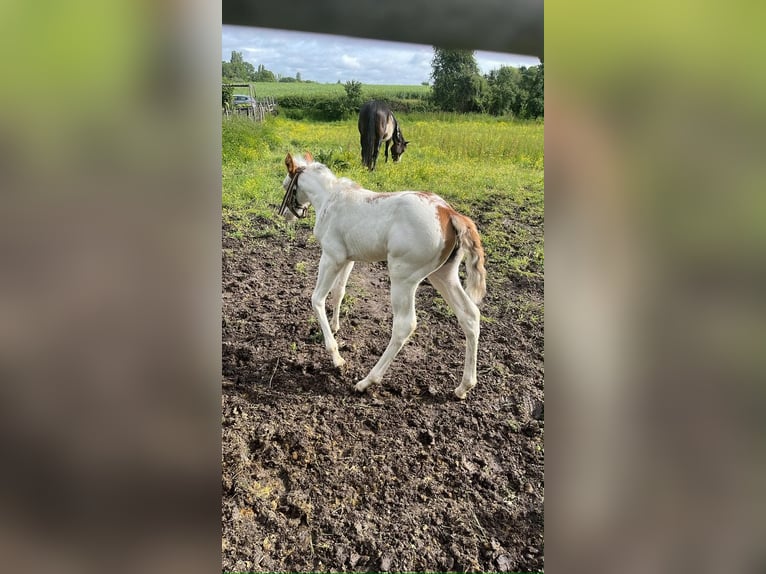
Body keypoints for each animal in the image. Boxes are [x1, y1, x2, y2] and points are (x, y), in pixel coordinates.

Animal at [279, 152, 486, 399]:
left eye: (285, 185)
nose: (285, 214)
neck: (331, 199)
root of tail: (449, 213)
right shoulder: (348, 259)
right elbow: (339, 292)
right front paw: (336, 326)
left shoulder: (331, 257)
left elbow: (317, 299)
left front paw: (336, 357)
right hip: (443, 275)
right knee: (470, 315)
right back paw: (464, 386)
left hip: (403, 277)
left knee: (405, 325)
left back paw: (367, 381)